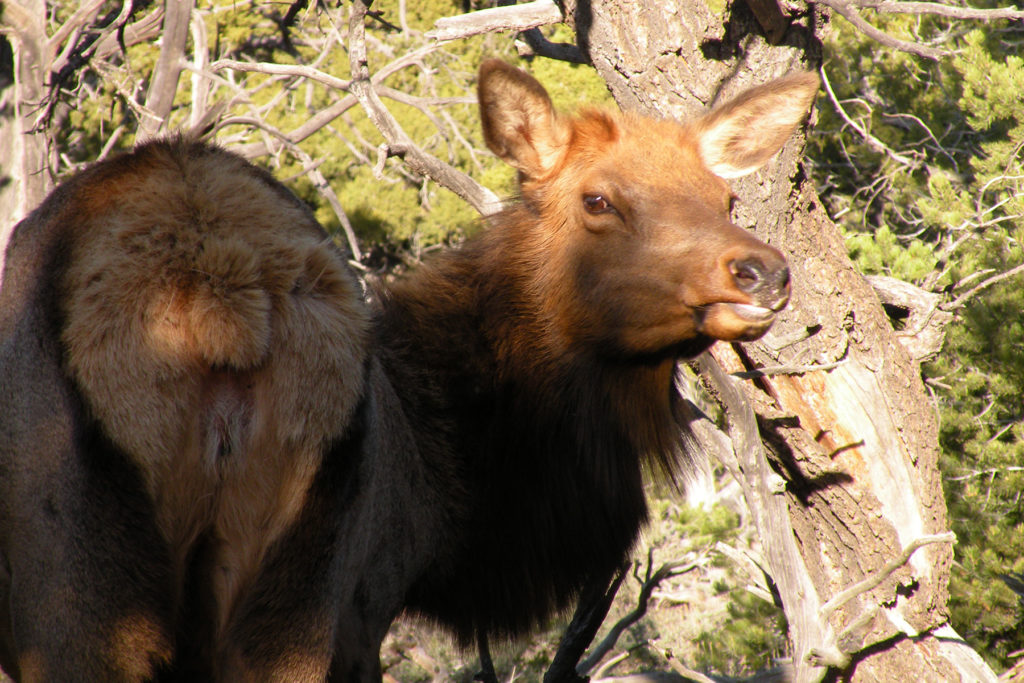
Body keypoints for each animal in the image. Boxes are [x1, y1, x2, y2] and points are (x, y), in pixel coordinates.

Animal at [0, 61, 815, 679]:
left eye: (725, 195)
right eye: (598, 198)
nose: (765, 271)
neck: (450, 508)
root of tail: (214, 292)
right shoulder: (367, 608)